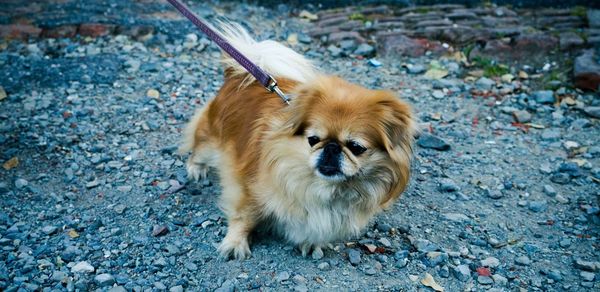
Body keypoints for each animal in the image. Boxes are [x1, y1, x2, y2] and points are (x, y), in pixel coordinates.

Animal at [178, 21, 414, 258]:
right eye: (313, 139)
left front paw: (311, 243)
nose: (331, 148)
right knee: (199, 146)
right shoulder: (249, 188)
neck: (324, 187)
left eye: (356, 147)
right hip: (211, 139)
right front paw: (235, 243)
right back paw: (196, 168)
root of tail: (239, 73)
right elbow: (245, 216)